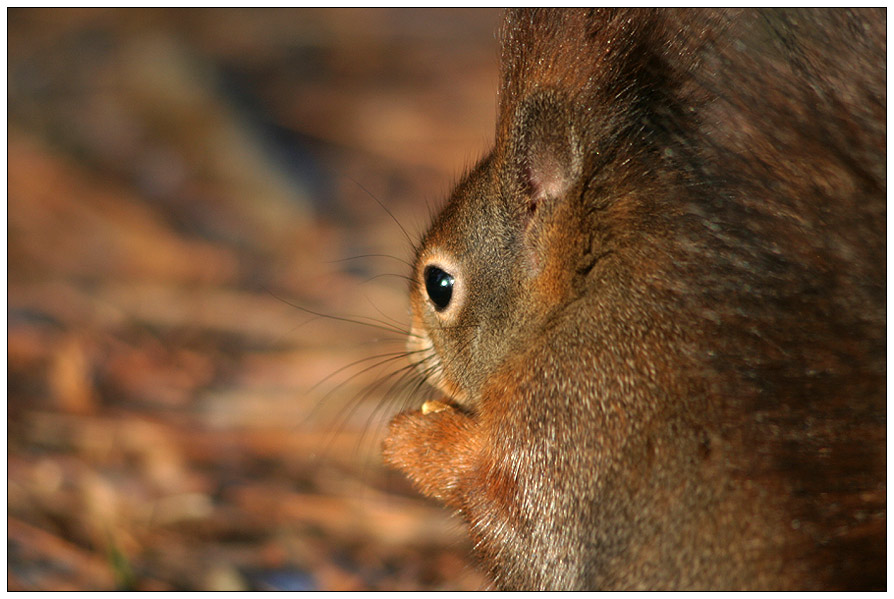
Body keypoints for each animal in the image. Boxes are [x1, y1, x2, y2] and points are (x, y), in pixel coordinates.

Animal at [382, 8, 884, 592]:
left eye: (439, 286)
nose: (413, 347)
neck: (572, 308)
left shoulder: (568, 414)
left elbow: (520, 525)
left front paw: (417, 440)